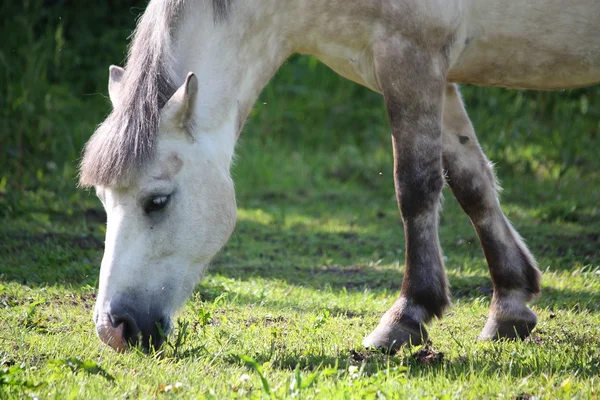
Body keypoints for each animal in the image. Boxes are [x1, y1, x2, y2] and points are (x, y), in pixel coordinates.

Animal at [81, 0, 600, 350]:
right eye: (104, 201)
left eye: (157, 201)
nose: (114, 329)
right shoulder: (435, 77)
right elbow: (472, 183)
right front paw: (509, 306)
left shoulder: (413, 58)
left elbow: (416, 187)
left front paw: (407, 317)